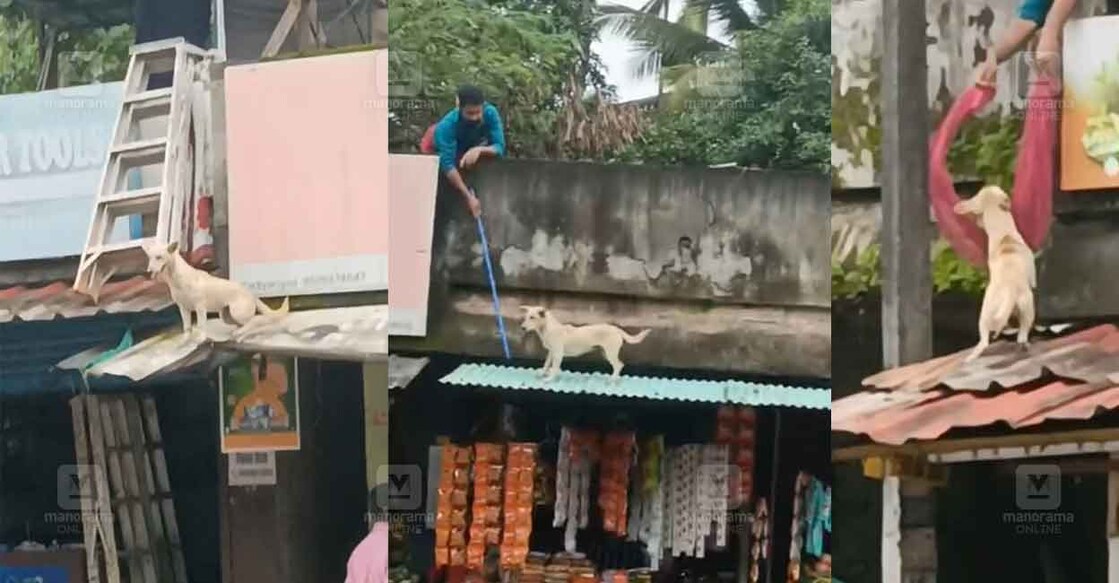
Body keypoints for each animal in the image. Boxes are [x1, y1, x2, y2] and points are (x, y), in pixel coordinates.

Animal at [142, 239, 288, 331]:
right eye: (149, 257)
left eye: (159, 257)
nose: (148, 271)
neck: (177, 279)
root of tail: (251, 294)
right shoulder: (184, 309)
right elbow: (187, 329)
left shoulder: (200, 308)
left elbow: (201, 327)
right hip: (226, 316)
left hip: (238, 313)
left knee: (255, 321)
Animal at [519, 304, 653, 382]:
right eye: (525, 317)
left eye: (532, 317)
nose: (522, 328)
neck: (548, 328)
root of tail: (616, 329)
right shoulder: (551, 353)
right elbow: (546, 364)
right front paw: (543, 373)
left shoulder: (558, 354)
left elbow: (554, 367)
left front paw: (550, 378)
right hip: (605, 352)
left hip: (610, 353)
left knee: (619, 365)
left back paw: (612, 379)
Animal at [957, 185, 1033, 358]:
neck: (1004, 233)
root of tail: (1009, 288)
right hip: (1028, 305)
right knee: (1023, 332)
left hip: (985, 313)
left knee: (985, 339)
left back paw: (973, 355)